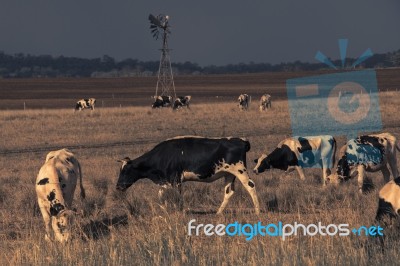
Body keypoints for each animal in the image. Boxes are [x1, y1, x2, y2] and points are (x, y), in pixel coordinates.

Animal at [115, 136, 260, 215]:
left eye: (125, 171)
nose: (118, 187)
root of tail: (242, 141)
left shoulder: (176, 179)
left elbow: (178, 197)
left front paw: (180, 211)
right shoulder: (165, 181)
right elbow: (160, 196)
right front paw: (164, 209)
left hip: (240, 171)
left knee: (251, 186)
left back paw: (257, 211)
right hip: (229, 174)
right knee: (229, 192)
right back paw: (218, 212)